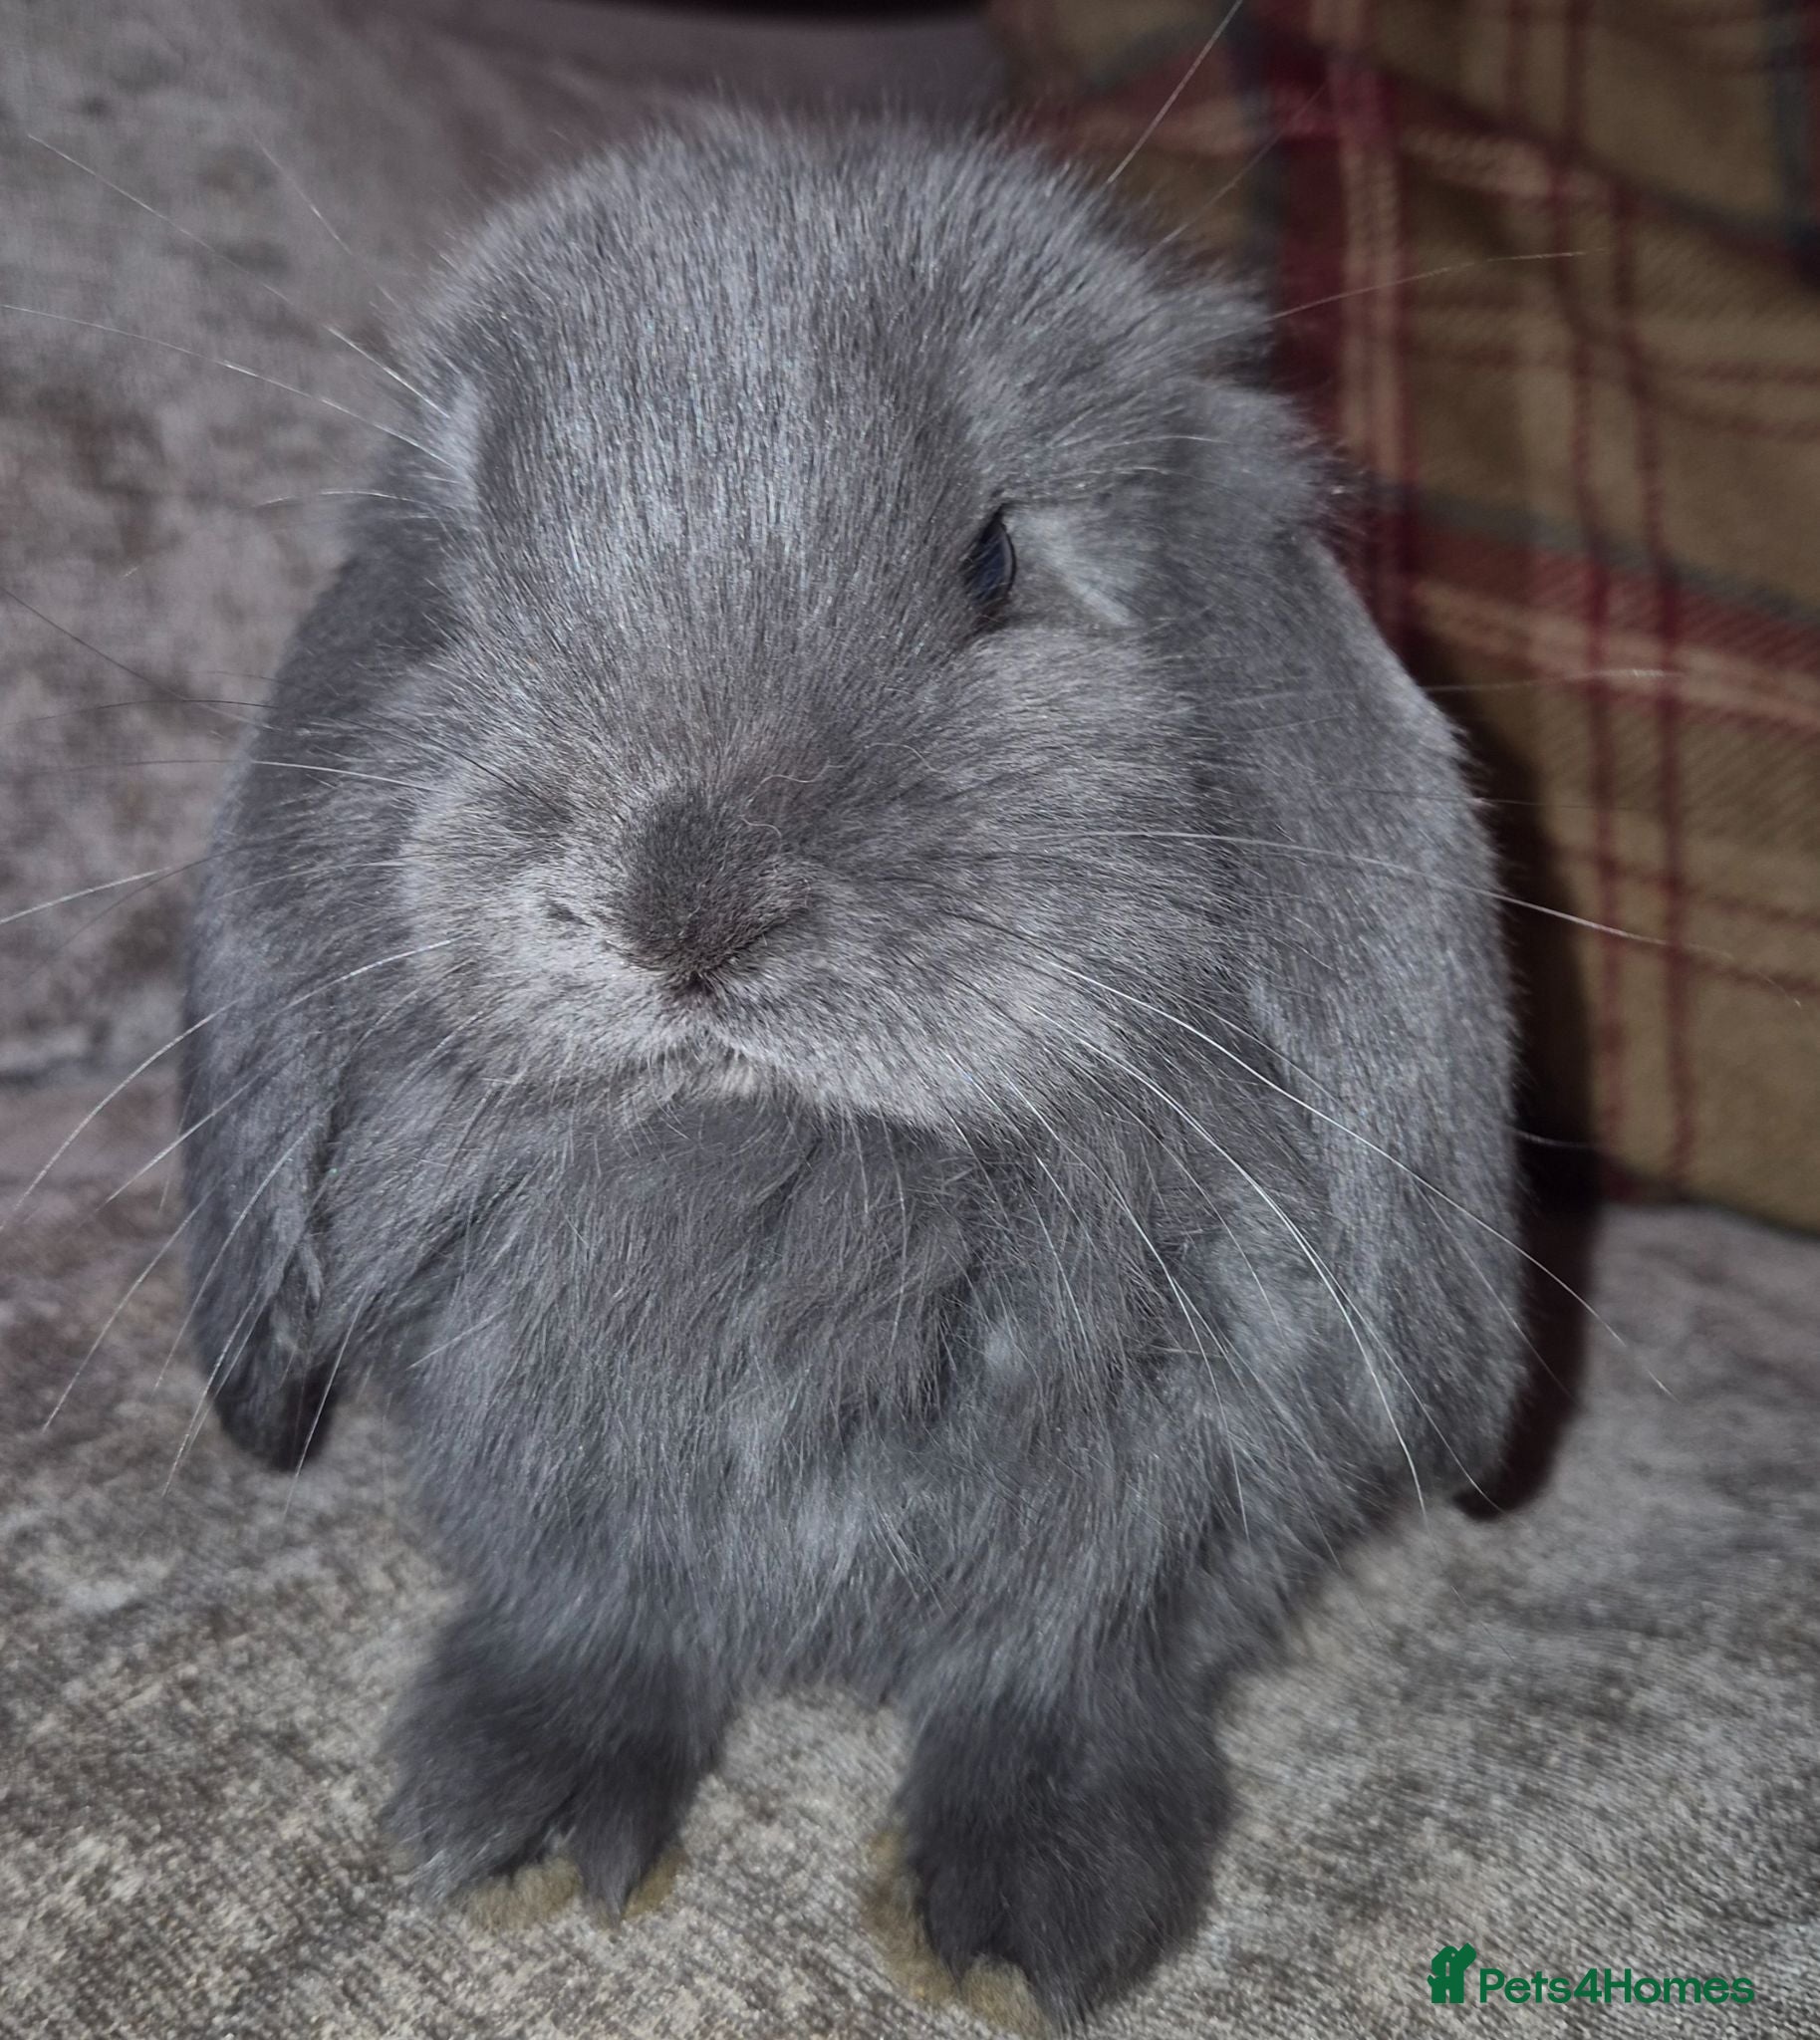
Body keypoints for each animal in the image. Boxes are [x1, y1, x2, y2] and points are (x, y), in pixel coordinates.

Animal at [179, 107, 1521, 2025]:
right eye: (474, 584)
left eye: (992, 565)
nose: (681, 903)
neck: (787, 1170)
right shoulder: (551, 1479)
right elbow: (591, 1620)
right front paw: (512, 1816)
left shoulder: (1162, 1513)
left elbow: (1058, 1678)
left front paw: (1033, 1920)